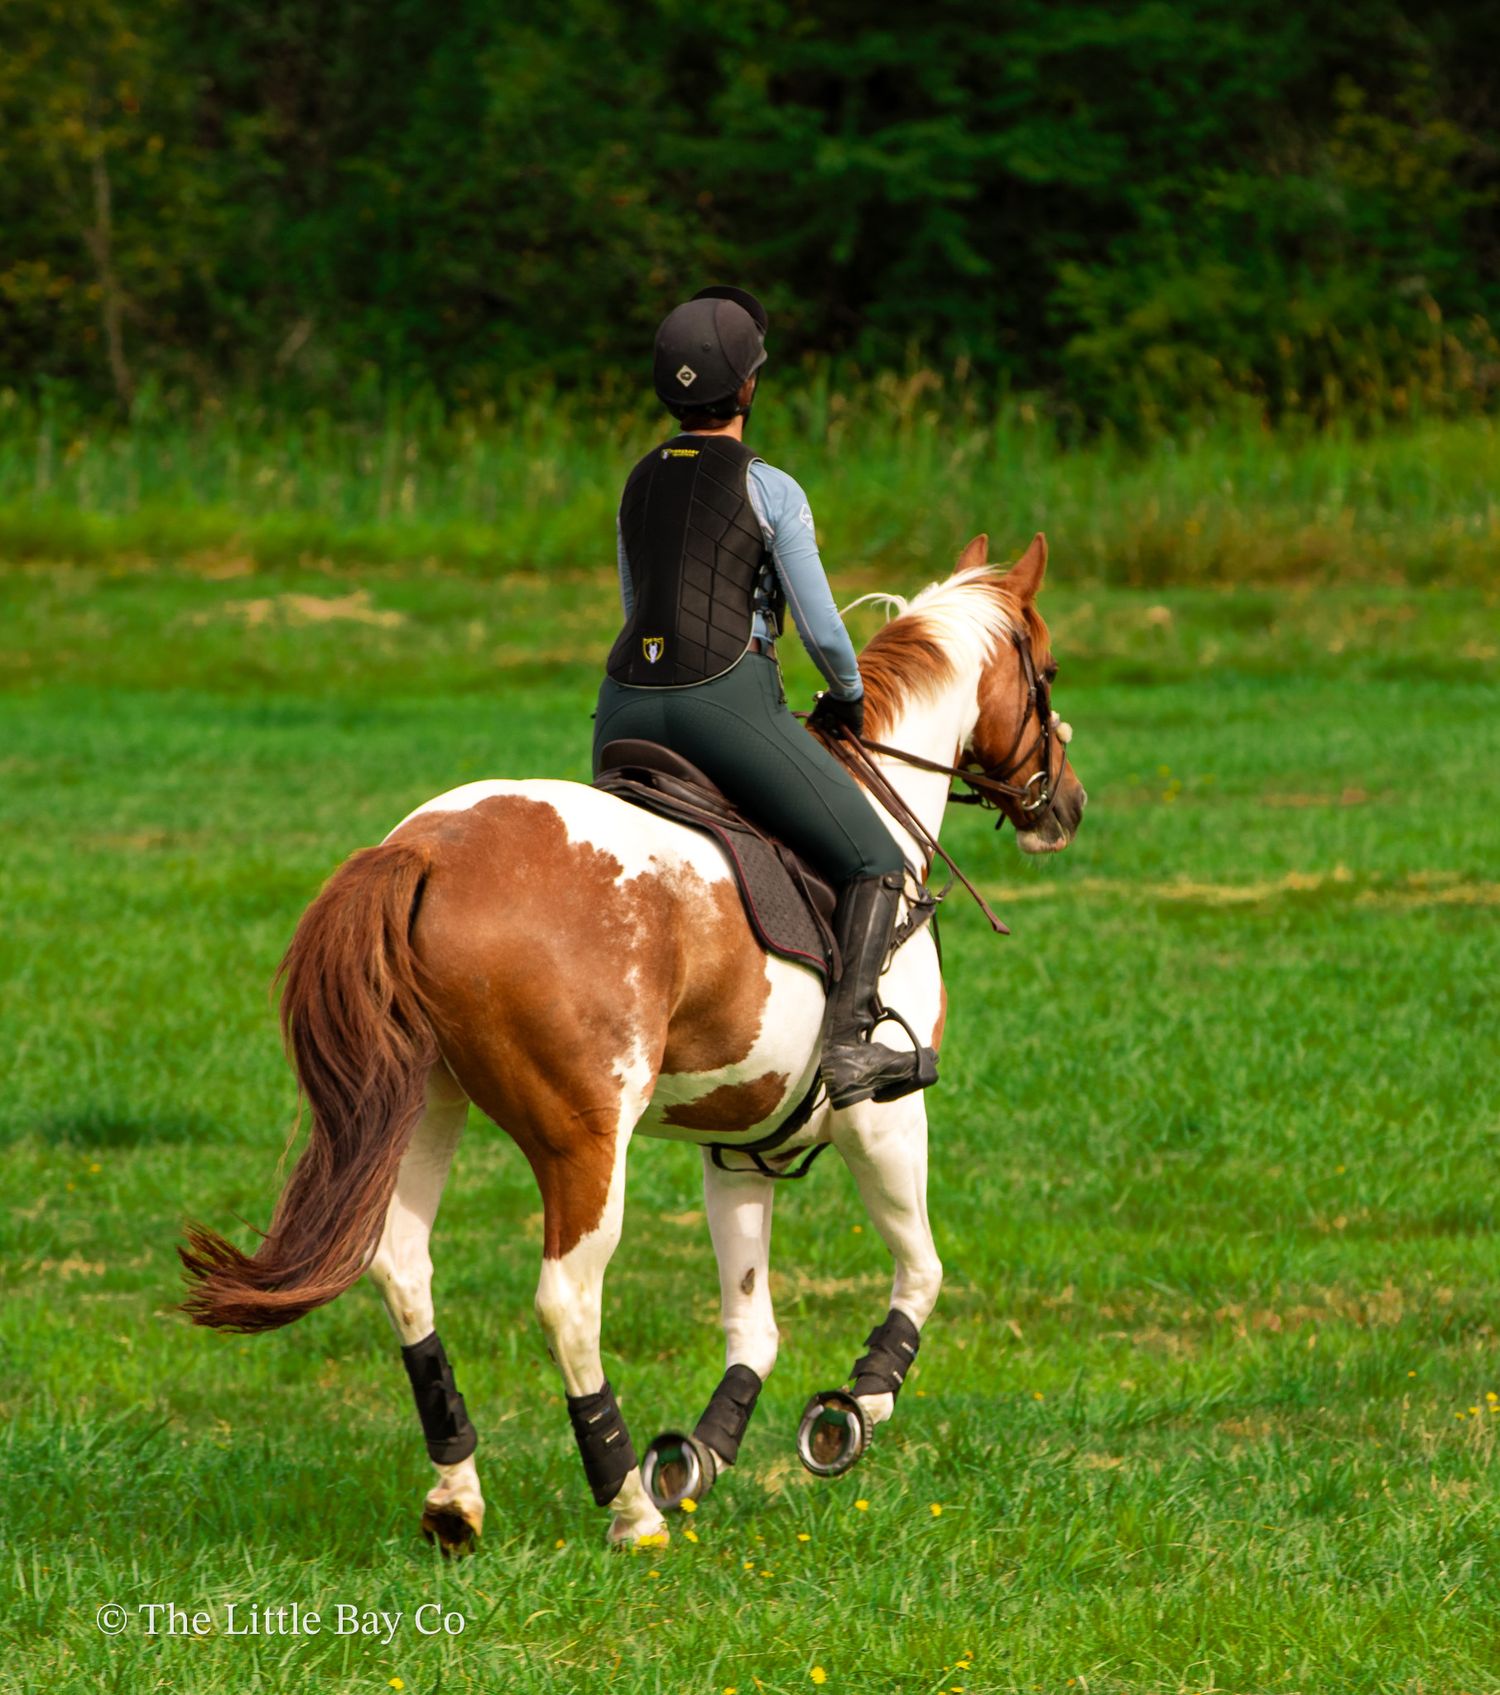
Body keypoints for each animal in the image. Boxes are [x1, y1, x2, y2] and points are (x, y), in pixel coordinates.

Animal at [179, 531, 1086, 1550]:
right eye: (1049, 671)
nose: (1068, 804)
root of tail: (426, 849)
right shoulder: (884, 1117)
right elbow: (922, 1273)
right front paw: (850, 1410)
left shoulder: (741, 1145)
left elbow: (753, 1324)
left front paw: (703, 1451)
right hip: (586, 1139)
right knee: (567, 1301)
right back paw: (627, 1506)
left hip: (421, 1106)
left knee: (401, 1269)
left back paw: (459, 1498)